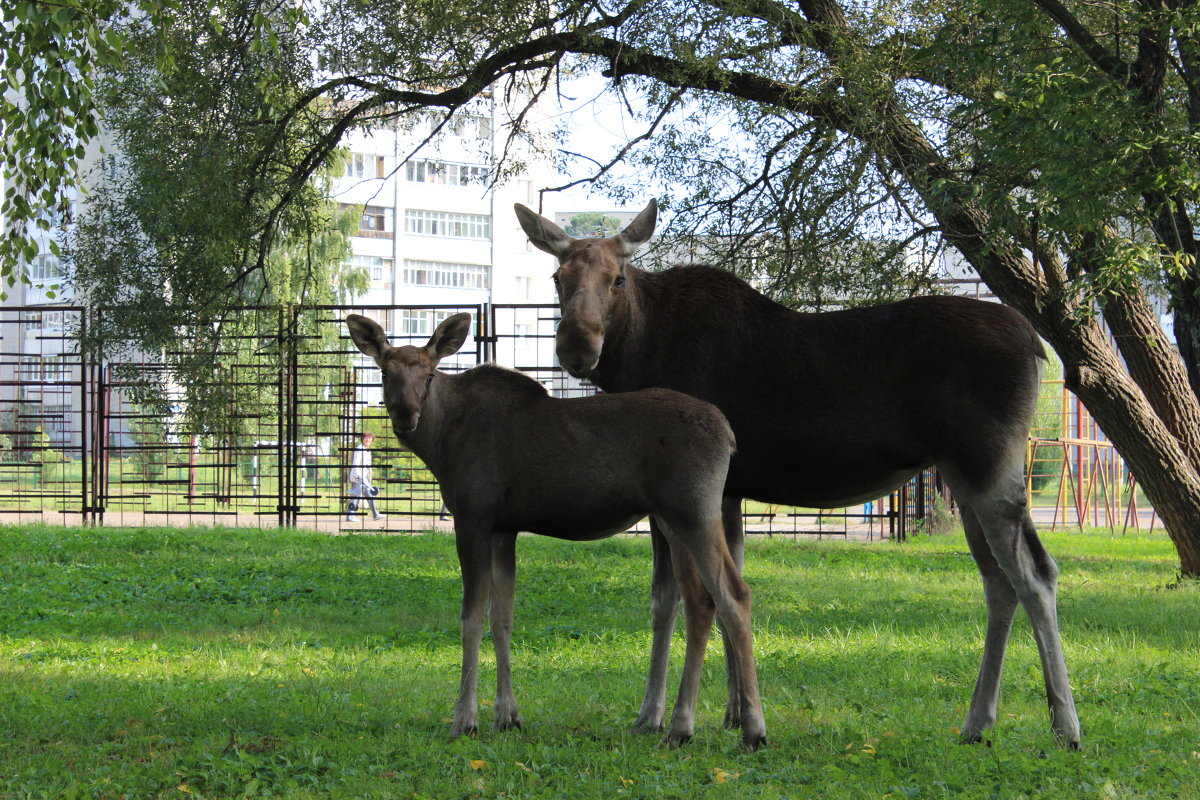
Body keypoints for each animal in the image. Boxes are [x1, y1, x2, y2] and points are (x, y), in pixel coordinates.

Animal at [343, 311, 763, 753]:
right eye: (385, 372)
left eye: (428, 375)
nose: (405, 416)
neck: (443, 442)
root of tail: (728, 434)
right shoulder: (503, 529)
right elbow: (501, 618)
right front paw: (507, 716)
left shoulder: (473, 517)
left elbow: (470, 618)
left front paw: (465, 720)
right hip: (671, 520)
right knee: (700, 599)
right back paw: (689, 724)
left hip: (692, 512)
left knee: (730, 594)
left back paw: (732, 728)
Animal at [520, 200, 1084, 753]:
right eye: (557, 277)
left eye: (617, 278)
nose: (576, 347)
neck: (636, 353)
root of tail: (1037, 345)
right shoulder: (727, 492)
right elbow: (724, 591)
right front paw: (734, 712)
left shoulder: (678, 493)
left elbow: (670, 600)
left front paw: (654, 716)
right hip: (964, 482)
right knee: (1000, 582)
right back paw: (979, 722)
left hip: (989, 472)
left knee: (1035, 575)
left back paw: (1064, 725)